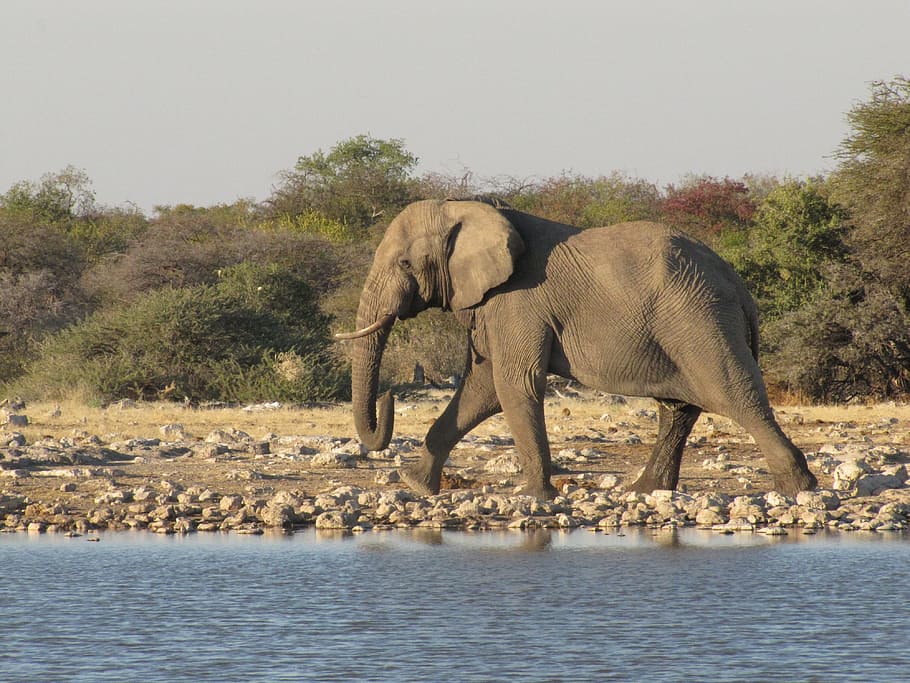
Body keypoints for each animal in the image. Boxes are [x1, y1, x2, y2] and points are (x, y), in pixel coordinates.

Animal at [336, 198, 817, 499]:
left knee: (734, 395)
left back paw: (798, 488)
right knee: (679, 408)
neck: (470, 208)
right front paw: (414, 485)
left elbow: (513, 384)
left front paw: (535, 496)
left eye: (404, 263)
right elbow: (482, 388)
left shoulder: (519, 301)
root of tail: (739, 286)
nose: (389, 395)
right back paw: (645, 491)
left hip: (698, 318)